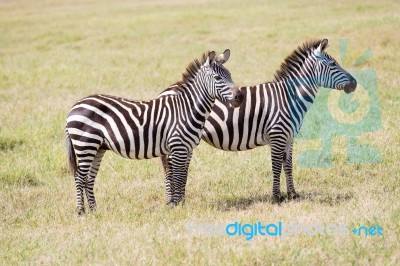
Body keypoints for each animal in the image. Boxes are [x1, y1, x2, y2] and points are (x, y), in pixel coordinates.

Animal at [65, 49, 244, 214]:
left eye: (230, 75)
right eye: (218, 78)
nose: (240, 97)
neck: (187, 109)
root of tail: (74, 107)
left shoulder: (187, 149)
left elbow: (184, 175)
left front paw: (180, 204)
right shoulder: (178, 147)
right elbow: (178, 176)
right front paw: (176, 205)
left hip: (98, 148)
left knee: (89, 178)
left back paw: (94, 210)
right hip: (85, 145)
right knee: (80, 177)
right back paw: (81, 211)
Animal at [159, 38, 356, 203]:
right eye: (333, 64)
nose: (354, 84)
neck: (289, 97)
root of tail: (164, 91)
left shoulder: (289, 137)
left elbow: (288, 165)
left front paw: (293, 194)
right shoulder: (277, 135)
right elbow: (276, 166)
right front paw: (277, 197)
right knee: (170, 166)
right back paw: (172, 201)